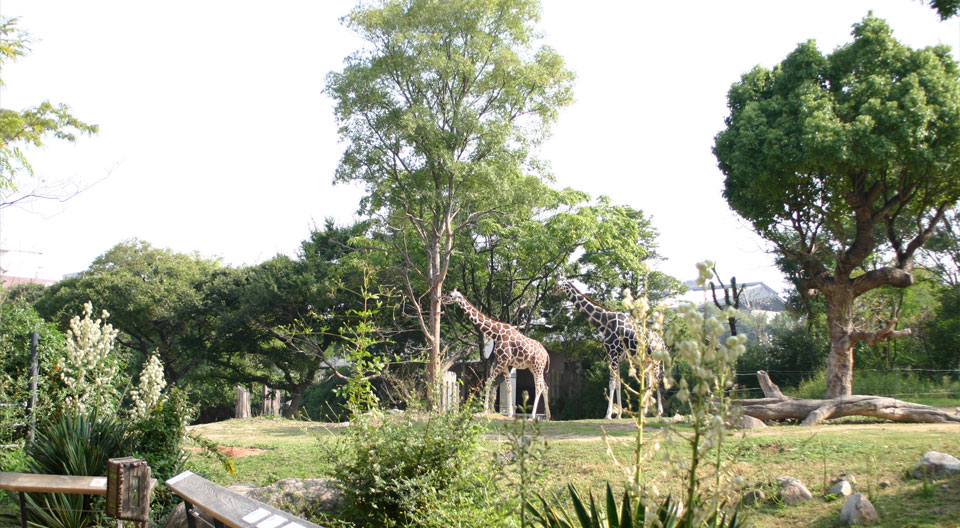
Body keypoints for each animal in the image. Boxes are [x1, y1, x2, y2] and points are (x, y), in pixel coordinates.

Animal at [444, 288, 552, 420]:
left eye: (450, 295)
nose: (442, 299)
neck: (496, 333)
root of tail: (546, 354)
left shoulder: (503, 360)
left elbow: (488, 381)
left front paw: (485, 409)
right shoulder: (505, 363)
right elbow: (509, 388)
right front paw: (510, 413)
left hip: (537, 366)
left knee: (539, 387)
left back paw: (532, 416)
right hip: (534, 368)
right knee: (545, 387)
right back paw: (548, 416)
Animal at [560, 276, 664, 420]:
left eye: (557, 283)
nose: (552, 291)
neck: (605, 324)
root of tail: (662, 342)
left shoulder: (612, 354)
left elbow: (612, 383)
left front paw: (608, 414)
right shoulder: (616, 357)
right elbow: (619, 384)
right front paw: (619, 414)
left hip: (656, 361)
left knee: (657, 382)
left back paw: (658, 412)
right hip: (648, 362)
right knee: (649, 383)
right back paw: (645, 412)